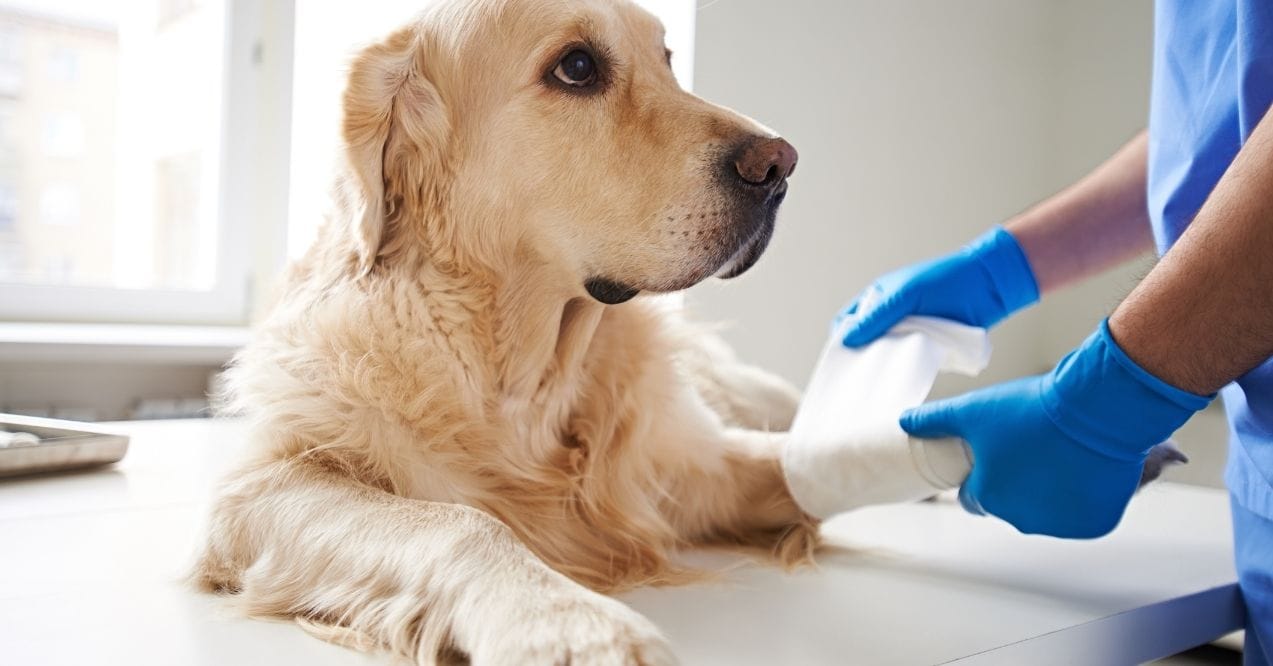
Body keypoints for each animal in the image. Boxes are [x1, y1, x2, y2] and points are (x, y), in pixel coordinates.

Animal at [196, 0, 814, 662]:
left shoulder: (688, 466)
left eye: (667, 58)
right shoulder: (262, 486)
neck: (522, 380)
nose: (780, 164)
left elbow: (796, 465)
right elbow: (461, 523)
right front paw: (571, 625)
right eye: (577, 67)